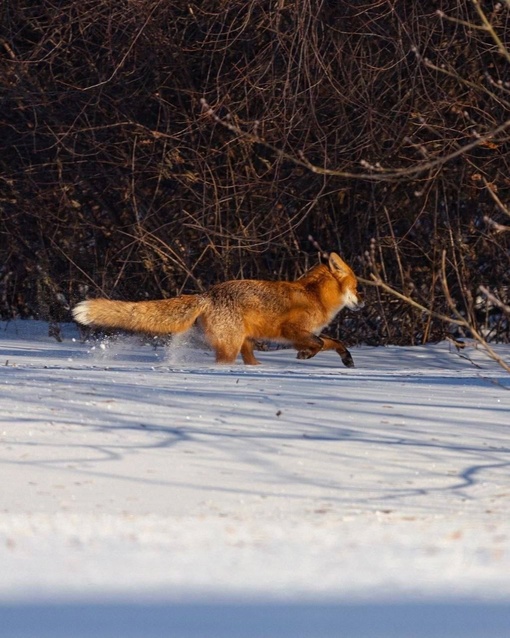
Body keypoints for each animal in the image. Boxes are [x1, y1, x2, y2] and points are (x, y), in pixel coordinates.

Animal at [73, 252, 364, 368]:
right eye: (358, 287)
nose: (363, 302)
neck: (315, 297)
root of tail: (208, 294)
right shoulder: (292, 330)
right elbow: (319, 343)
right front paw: (305, 355)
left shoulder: (305, 332)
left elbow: (335, 342)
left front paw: (347, 359)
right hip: (231, 346)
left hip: (244, 344)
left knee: (249, 361)